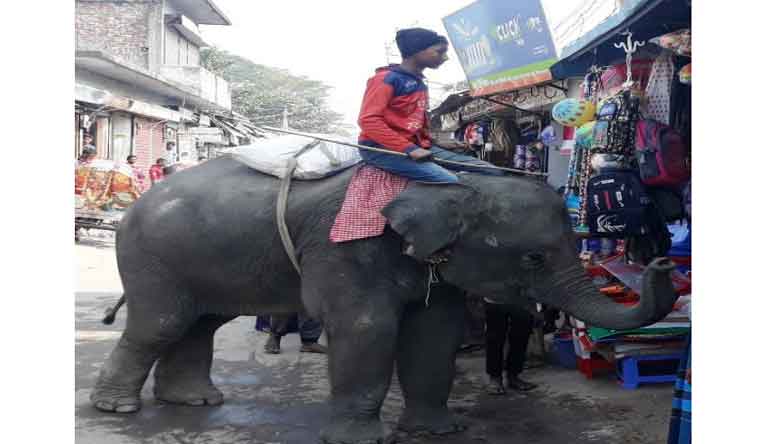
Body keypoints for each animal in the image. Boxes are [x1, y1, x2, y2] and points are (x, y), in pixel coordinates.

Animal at [89, 154, 672, 442]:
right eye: (532, 258)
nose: (663, 261)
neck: (452, 182)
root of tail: (135, 201)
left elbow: (434, 333)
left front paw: (439, 432)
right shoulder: (347, 247)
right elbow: (368, 327)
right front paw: (359, 440)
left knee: (200, 323)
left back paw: (195, 403)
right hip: (149, 257)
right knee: (161, 323)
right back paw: (117, 408)